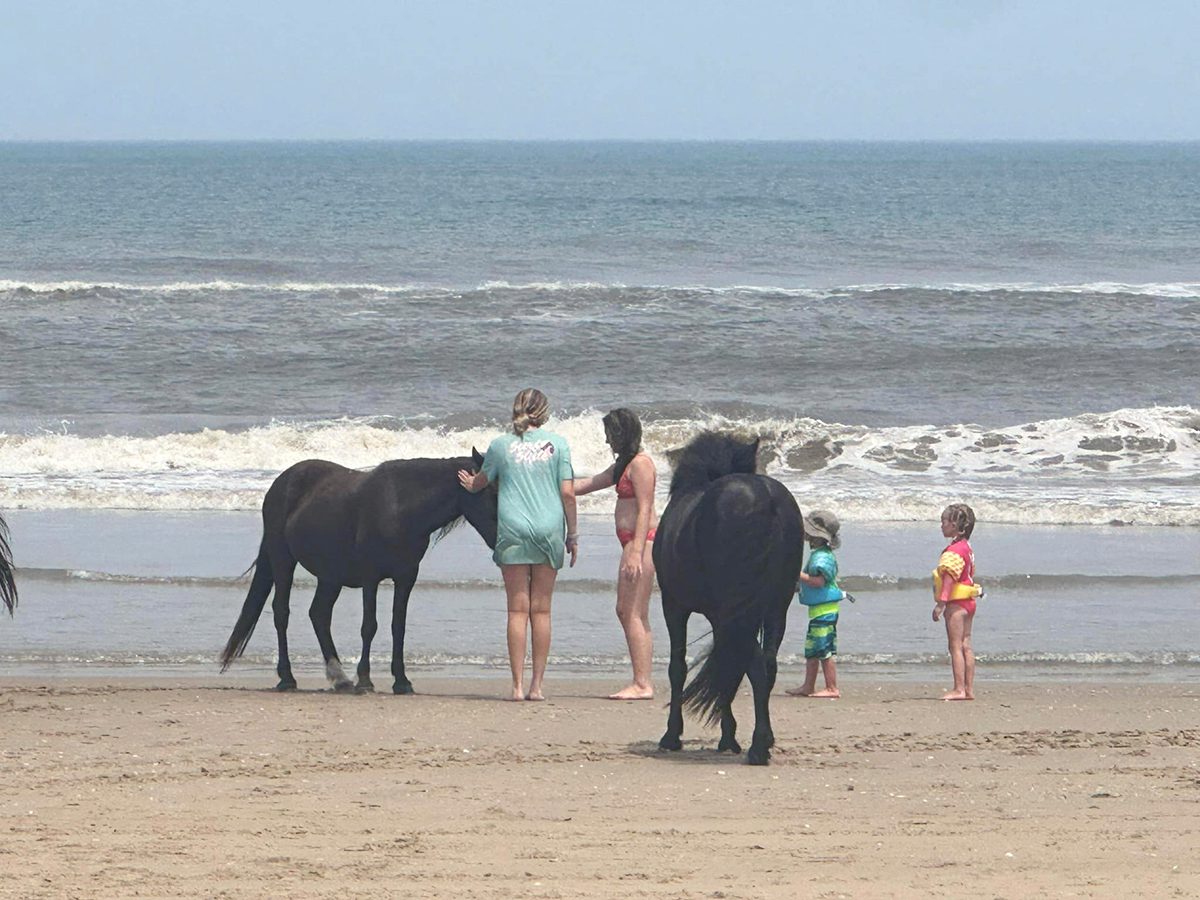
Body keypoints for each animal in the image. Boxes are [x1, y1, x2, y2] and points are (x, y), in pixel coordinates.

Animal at [218, 453, 494, 696]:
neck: (400, 506)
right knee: (281, 613)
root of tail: (279, 483)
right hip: (282, 559)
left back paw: (339, 678)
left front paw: (401, 681)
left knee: (319, 614)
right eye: (490, 491)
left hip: (329, 576)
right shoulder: (370, 577)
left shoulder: (406, 578)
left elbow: (398, 626)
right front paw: (365, 680)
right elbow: (369, 626)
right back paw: (288, 678)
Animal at [652, 434, 801, 763]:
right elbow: (727, 666)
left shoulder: (674, 606)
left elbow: (679, 667)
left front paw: (672, 735)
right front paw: (727, 736)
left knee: (755, 666)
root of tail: (768, 500)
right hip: (775, 609)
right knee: (767, 665)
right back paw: (763, 741)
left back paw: (758, 748)